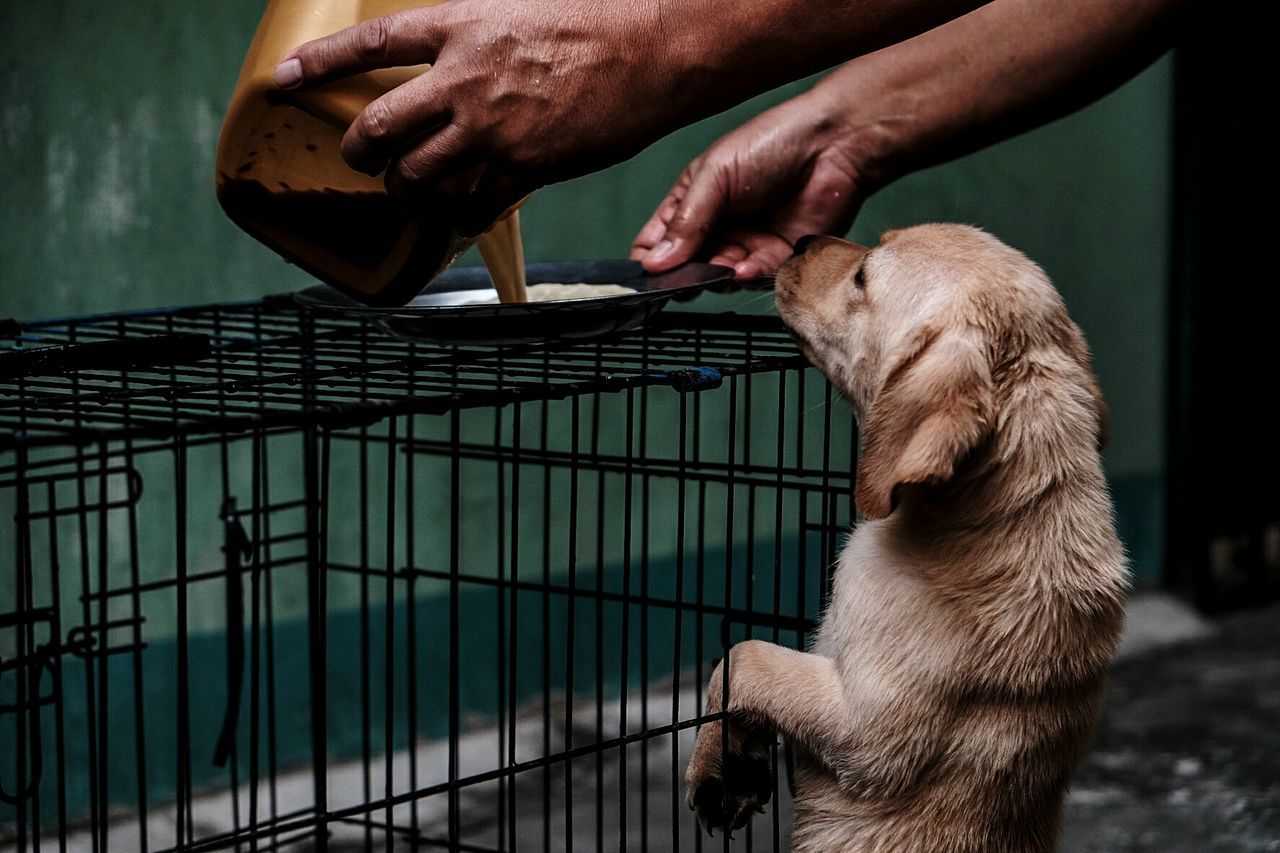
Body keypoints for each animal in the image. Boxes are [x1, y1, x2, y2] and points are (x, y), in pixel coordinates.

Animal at [686, 225, 1126, 850]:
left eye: (863, 277)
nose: (801, 239)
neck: (993, 510)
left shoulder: (868, 732)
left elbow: (744, 656)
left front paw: (718, 770)